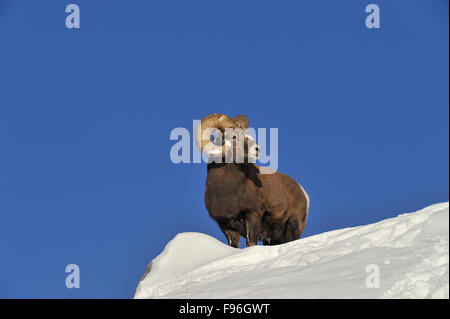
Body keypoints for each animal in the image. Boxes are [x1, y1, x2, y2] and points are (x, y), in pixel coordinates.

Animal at [196, 114, 310, 249]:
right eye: (234, 136)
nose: (257, 149)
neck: (226, 190)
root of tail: (303, 193)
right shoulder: (225, 226)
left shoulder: (253, 215)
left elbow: (251, 243)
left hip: (292, 227)